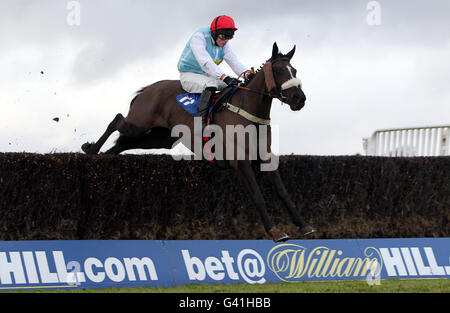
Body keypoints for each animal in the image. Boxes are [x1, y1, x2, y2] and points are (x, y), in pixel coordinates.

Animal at [81, 42, 312, 241]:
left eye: (295, 70)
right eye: (280, 71)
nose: (300, 99)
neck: (248, 113)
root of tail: (149, 89)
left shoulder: (265, 158)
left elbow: (283, 192)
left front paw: (303, 225)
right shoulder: (240, 161)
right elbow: (257, 196)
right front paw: (275, 231)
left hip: (160, 138)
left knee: (124, 143)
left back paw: (102, 157)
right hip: (138, 123)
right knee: (117, 120)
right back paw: (90, 149)